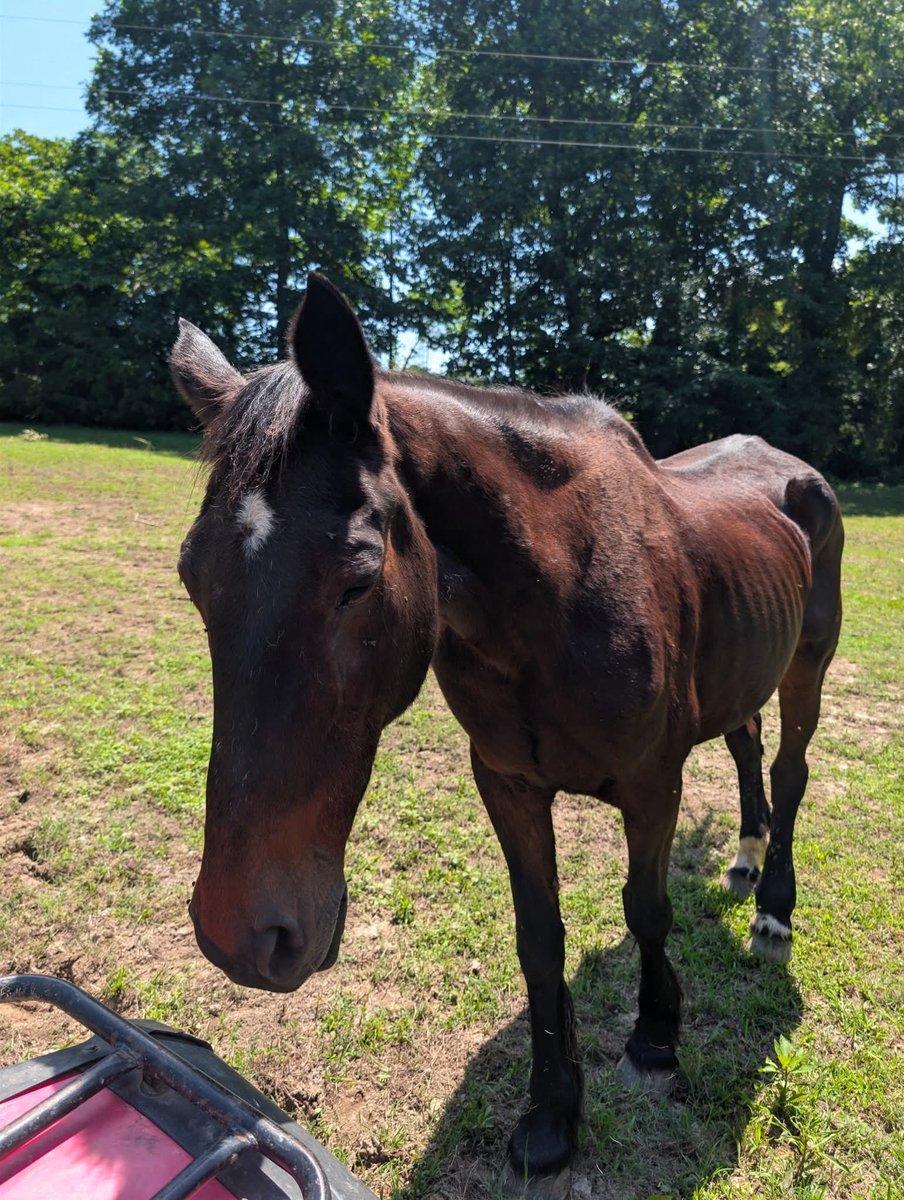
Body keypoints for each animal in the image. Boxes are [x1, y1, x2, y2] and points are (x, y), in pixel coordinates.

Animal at [171, 274, 843, 1179]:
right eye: (192, 578)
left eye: (356, 581)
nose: (242, 935)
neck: (556, 598)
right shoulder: (509, 786)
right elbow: (539, 939)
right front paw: (553, 1112)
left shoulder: (652, 787)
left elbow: (646, 910)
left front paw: (654, 1040)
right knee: (747, 747)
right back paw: (744, 859)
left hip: (808, 664)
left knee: (789, 771)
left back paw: (773, 910)